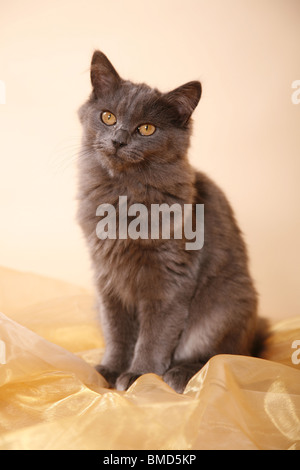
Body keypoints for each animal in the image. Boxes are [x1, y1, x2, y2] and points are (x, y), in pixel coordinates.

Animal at [76, 51, 268, 392]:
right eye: (108, 117)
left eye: (147, 129)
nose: (119, 140)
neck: (123, 193)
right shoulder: (107, 279)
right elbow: (117, 332)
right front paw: (110, 371)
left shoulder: (169, 280)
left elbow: (154, 336)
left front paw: (140, 376)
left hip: (224, 305)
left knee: (226, 357)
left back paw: (179, 374)